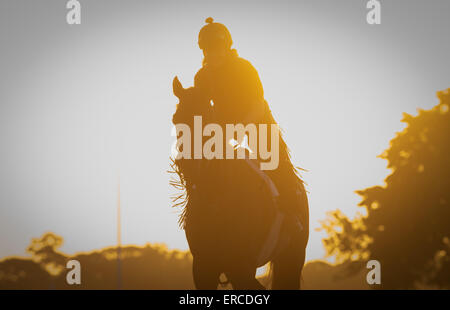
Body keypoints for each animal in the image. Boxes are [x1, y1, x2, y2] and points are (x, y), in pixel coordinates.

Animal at [170, 76, 310, 290]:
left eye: (207, 117)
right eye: (176, 119)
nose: (189, 165)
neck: (216, 196)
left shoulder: (242, 265)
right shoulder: (204, 266)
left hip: (291, 258)